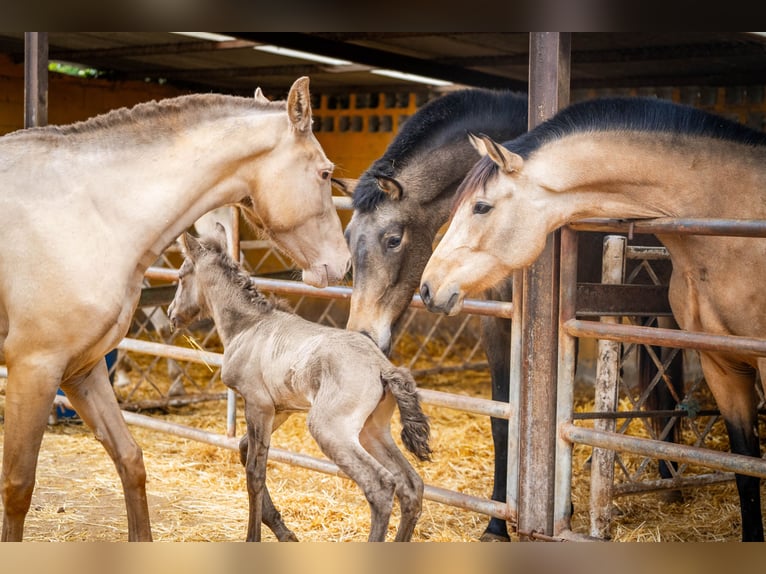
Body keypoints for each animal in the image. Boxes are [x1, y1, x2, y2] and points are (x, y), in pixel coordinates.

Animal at [0, 76, 351, 541]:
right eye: (325, 172)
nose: (344, 263)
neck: (89, 214)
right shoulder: (34, 368)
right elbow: (18, 485)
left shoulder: (81, 369)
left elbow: (130, 460)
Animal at [167, 224, 431, 542]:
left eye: (180, 276)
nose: (171, 315)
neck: (248, 325)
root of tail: (383, 368)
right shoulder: (280, 408)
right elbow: (244, 449)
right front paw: (283, 530)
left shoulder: (258, 404)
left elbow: (255, 472)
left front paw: (254, 536)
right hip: (372, 429)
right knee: (411, 485)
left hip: (330, 429)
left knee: (381, 487)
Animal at [338, 87, 529, 542]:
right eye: (349, 237)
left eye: (393, 239)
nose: (363, 336)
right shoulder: (495, 322)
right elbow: (501, 421)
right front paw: (497, 524)